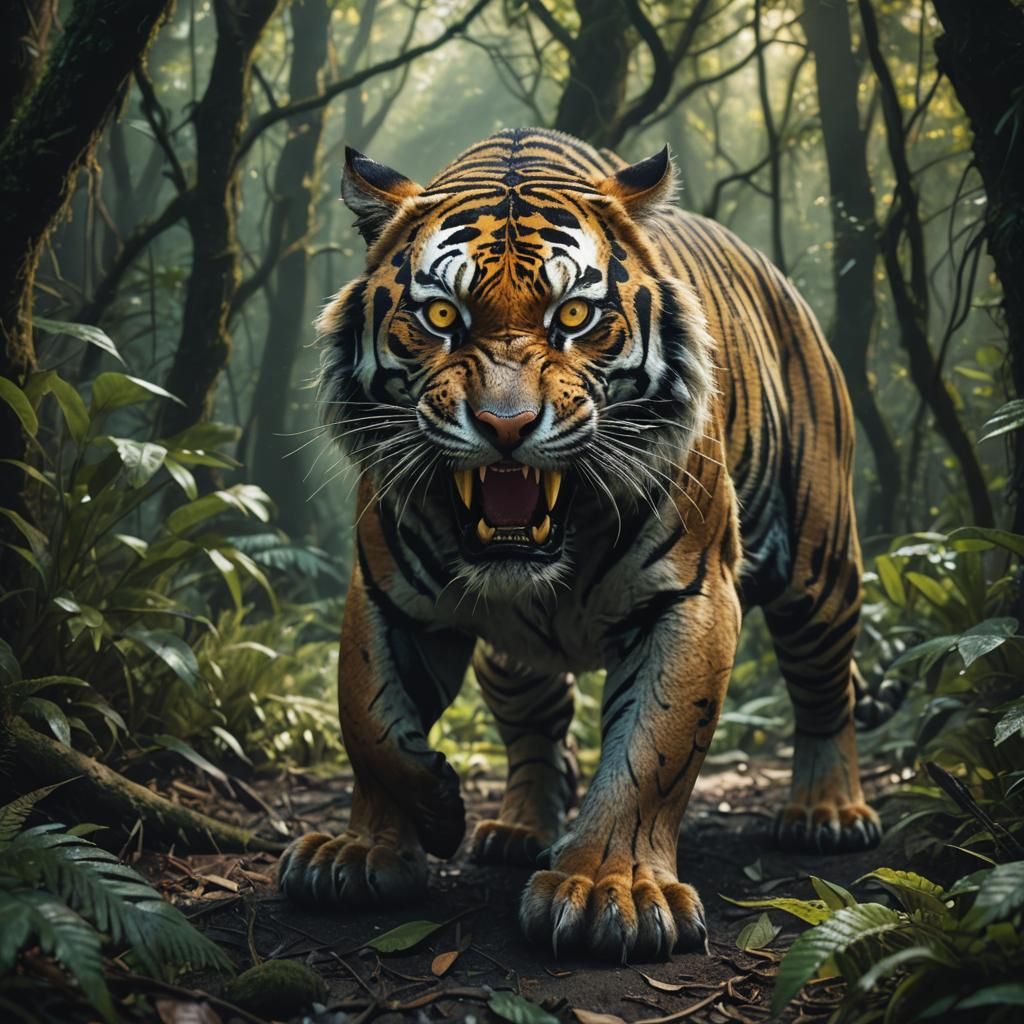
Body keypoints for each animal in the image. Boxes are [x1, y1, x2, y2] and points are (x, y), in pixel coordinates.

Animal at [277, 127, 881, 962]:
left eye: (572, 315)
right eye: (441, 314)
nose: (504, 425)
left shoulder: (690, 593)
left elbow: (653, 750)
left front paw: (606, 891)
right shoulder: (385, 591)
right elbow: (369, 724)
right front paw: (379, 843)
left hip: (821, 576)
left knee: (827, 690)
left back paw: (827, 812)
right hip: (510, 663)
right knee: (537, 731)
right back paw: (515, 829)